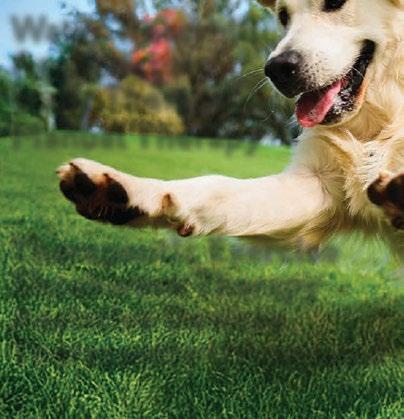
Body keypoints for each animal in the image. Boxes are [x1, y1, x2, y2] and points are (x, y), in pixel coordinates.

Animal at [57, 0, 404, 258]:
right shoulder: (317, 186)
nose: (277, 69)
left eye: (334, 2)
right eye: (283, 16)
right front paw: (130, 191)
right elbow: (214, 186)